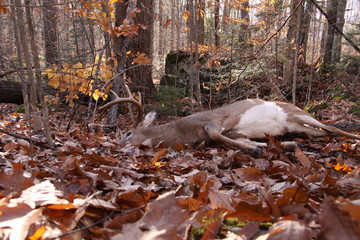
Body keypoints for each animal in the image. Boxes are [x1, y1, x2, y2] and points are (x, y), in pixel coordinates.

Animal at [100, 85, 360, 155]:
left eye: (128, 133)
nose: (115, 145)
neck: (182, 131)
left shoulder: (213, 120)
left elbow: (218, 134)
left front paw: (254, 150)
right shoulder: (229, 133)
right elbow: (238, 140)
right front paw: (284, 144)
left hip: (297, 113)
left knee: (332, 127)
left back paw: (354, 137)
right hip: (297, 125)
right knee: (324, 132)